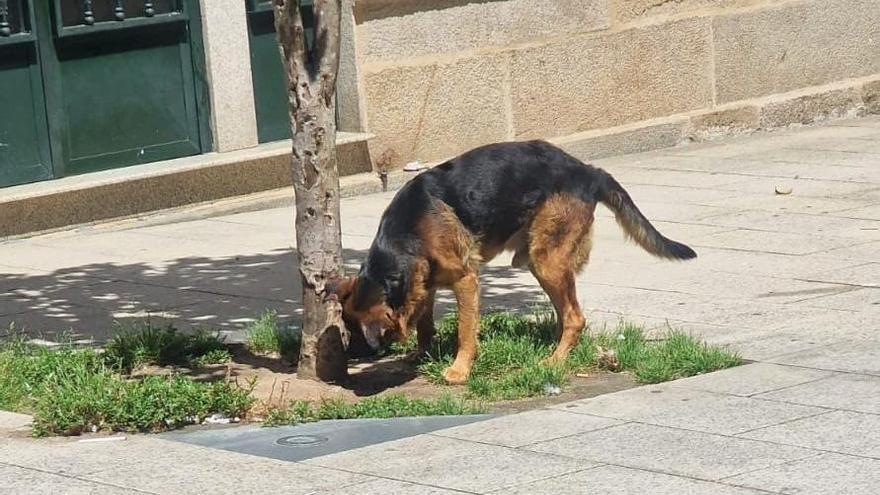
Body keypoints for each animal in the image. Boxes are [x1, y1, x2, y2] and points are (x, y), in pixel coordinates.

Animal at [326, 141, 696, 386]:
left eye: (354, 329)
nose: (348, 359)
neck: (405, 237)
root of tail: (588, 171)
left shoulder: (465, 280)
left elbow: (465, 331)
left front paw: (459, 370)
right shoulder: (425, 281)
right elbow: (425, 325)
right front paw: (421, 354)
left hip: (546, 259)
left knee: (575, 317)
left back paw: (555, 360)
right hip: (540, 260)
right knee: (566, 313)